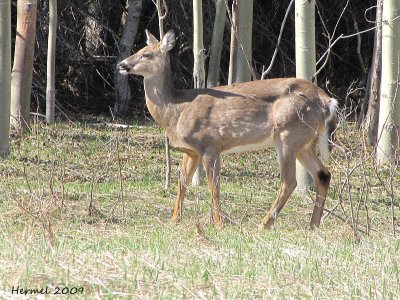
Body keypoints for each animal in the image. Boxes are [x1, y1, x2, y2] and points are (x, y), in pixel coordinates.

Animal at [118, 29, 338, 230]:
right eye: (138, 50)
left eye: (147, 54)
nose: (121, 65)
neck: (176, 110)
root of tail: (327, 101)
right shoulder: (192, 151)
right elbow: (182, 182)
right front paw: (174, 219)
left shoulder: (210, 144)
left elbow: (213, 186)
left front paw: (219, 223)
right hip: (305, 142)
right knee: (323, 175)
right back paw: (313, 224)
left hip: (288, 134)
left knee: (289, 181)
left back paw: (264, 224)